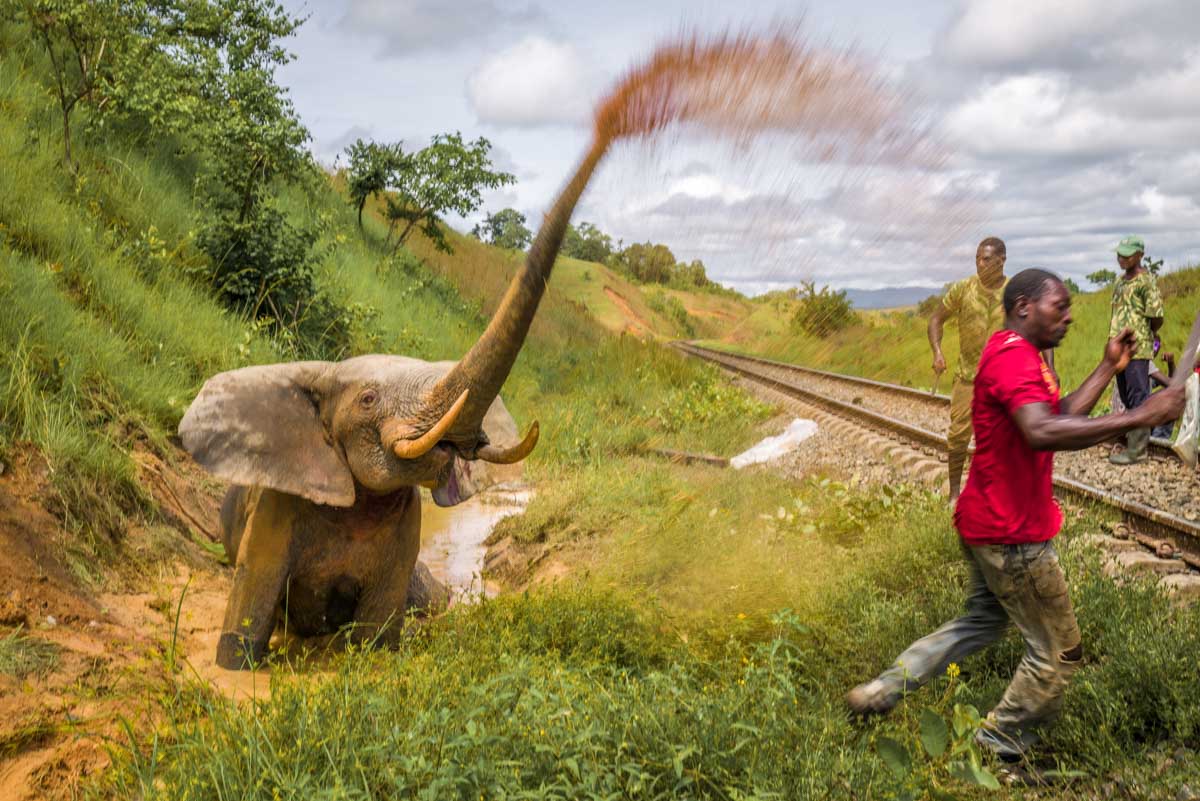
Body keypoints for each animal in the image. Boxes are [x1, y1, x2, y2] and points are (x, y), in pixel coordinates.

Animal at [178, 139, 614, 671]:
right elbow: (252, 599)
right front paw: (235, 669)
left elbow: (379, 633)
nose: (610, 128)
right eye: (367, 399)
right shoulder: (276, 504)